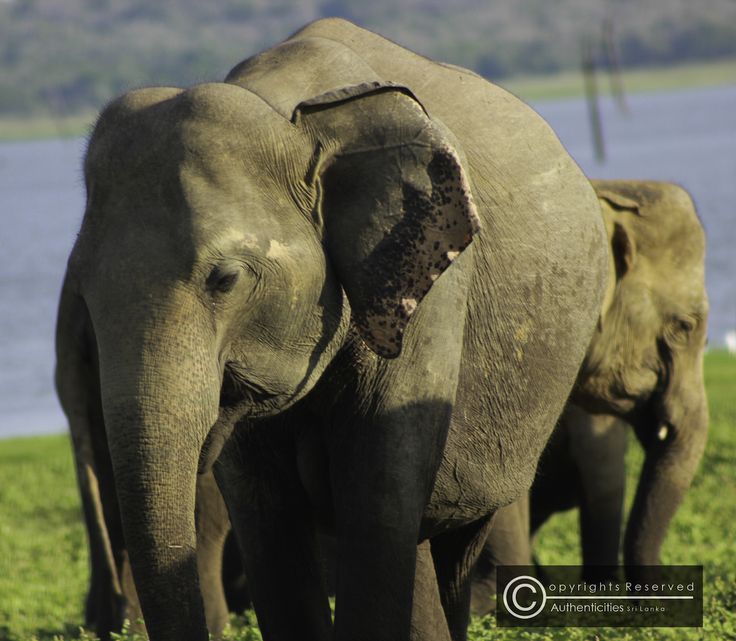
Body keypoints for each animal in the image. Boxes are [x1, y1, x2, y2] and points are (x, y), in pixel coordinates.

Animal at [57, 18, 608, 640]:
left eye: (225, 280)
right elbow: (265, 511)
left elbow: (379, 490)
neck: (287, 115)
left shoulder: (433, 284)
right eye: (85, 294)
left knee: (453, 536)